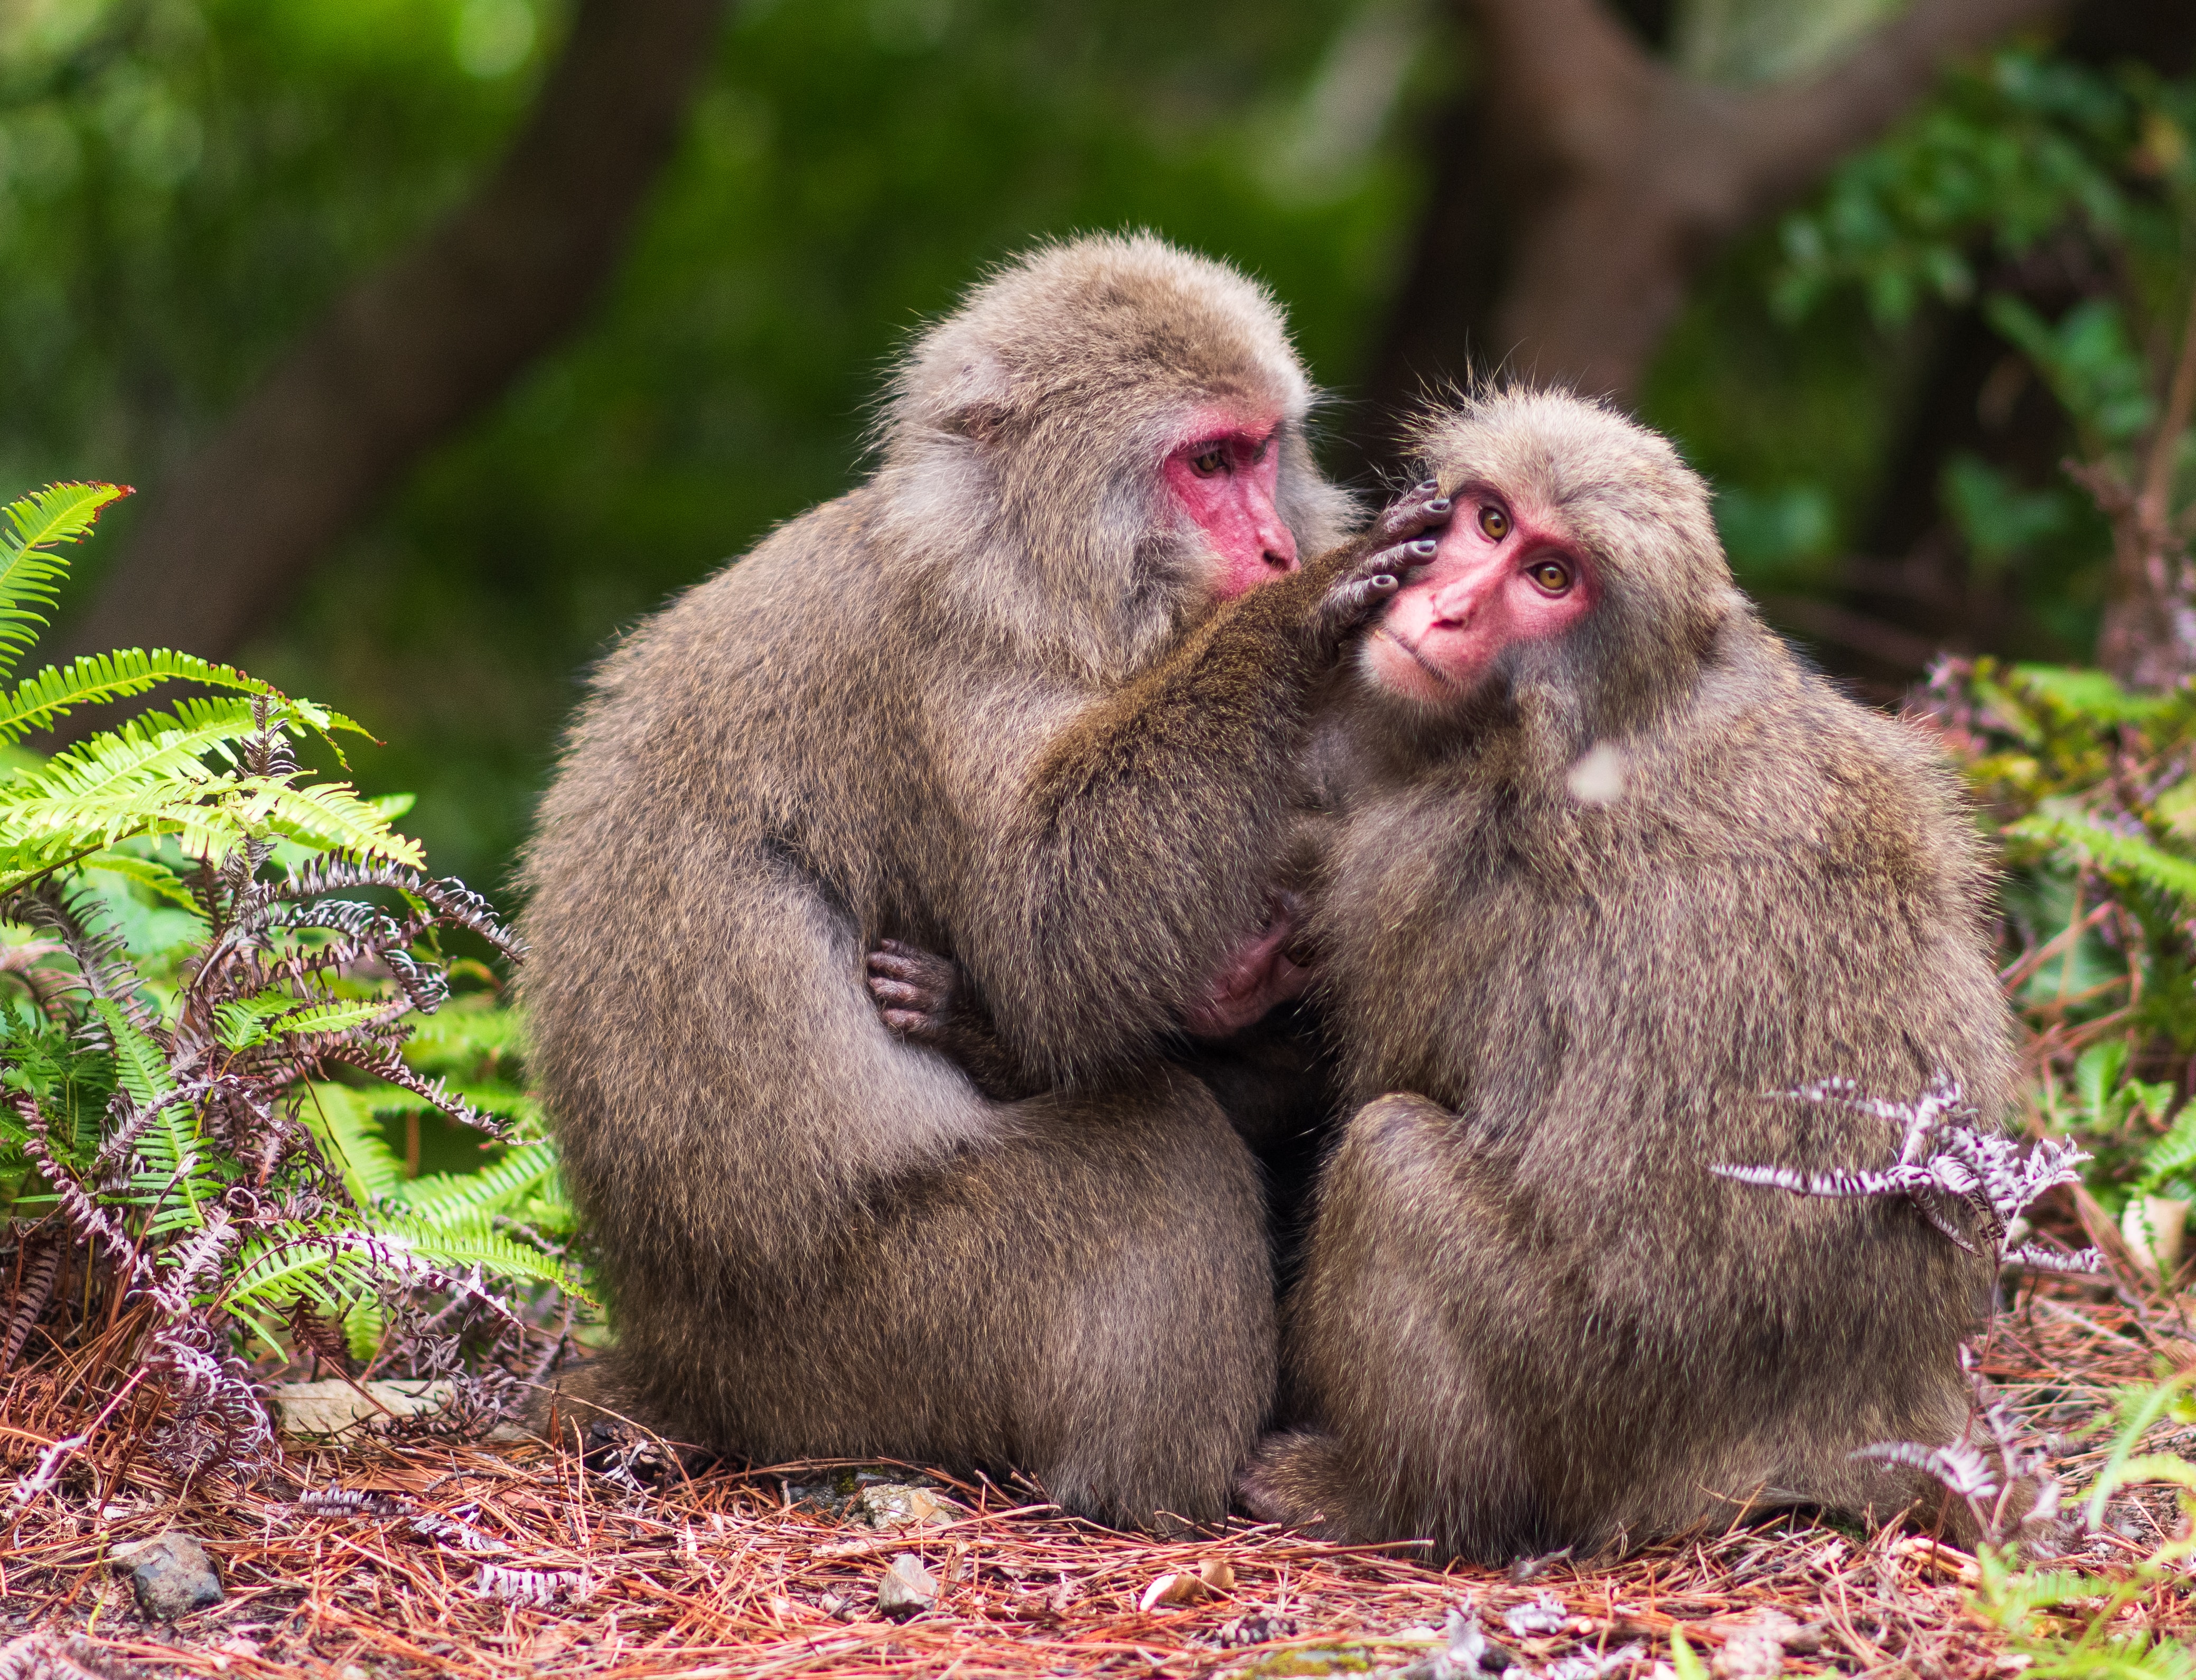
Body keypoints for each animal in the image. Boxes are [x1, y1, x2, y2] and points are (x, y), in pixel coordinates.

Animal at [518, 236, 1458, 1537]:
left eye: (1265, 451)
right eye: (1207, 463)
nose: (1272, 546)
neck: (1020, 576)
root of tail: (685, 1366)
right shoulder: (943, 675)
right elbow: (1049, 927)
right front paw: (1294, 616)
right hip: (880, 1343)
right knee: (1156, 1152)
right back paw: (1147, 1499)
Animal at [1229, 390, 2011, 1563]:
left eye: (1551, 580)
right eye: (1490, 524)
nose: (1444, 608)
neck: (1607, 707)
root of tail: (1850, 1411)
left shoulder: (1429, 873)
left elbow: (1370, 1086)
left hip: (1583, 1403)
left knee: (1391, 1157)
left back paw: (1384, 1503)